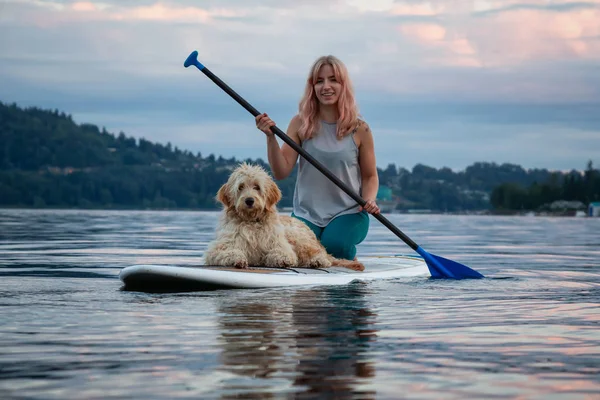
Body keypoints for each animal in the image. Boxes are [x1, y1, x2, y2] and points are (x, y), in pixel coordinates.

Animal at [204, 162, 366, 272]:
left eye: (257, 187)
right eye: (240, 187)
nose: (249, 200)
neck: (252, 222)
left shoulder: (280, 245)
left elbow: (282, 253)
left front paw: (281, 260)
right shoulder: (219, 248)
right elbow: (227, 252)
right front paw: (237, 259)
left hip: (298, 237)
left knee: (322, 256)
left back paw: (317, 261)